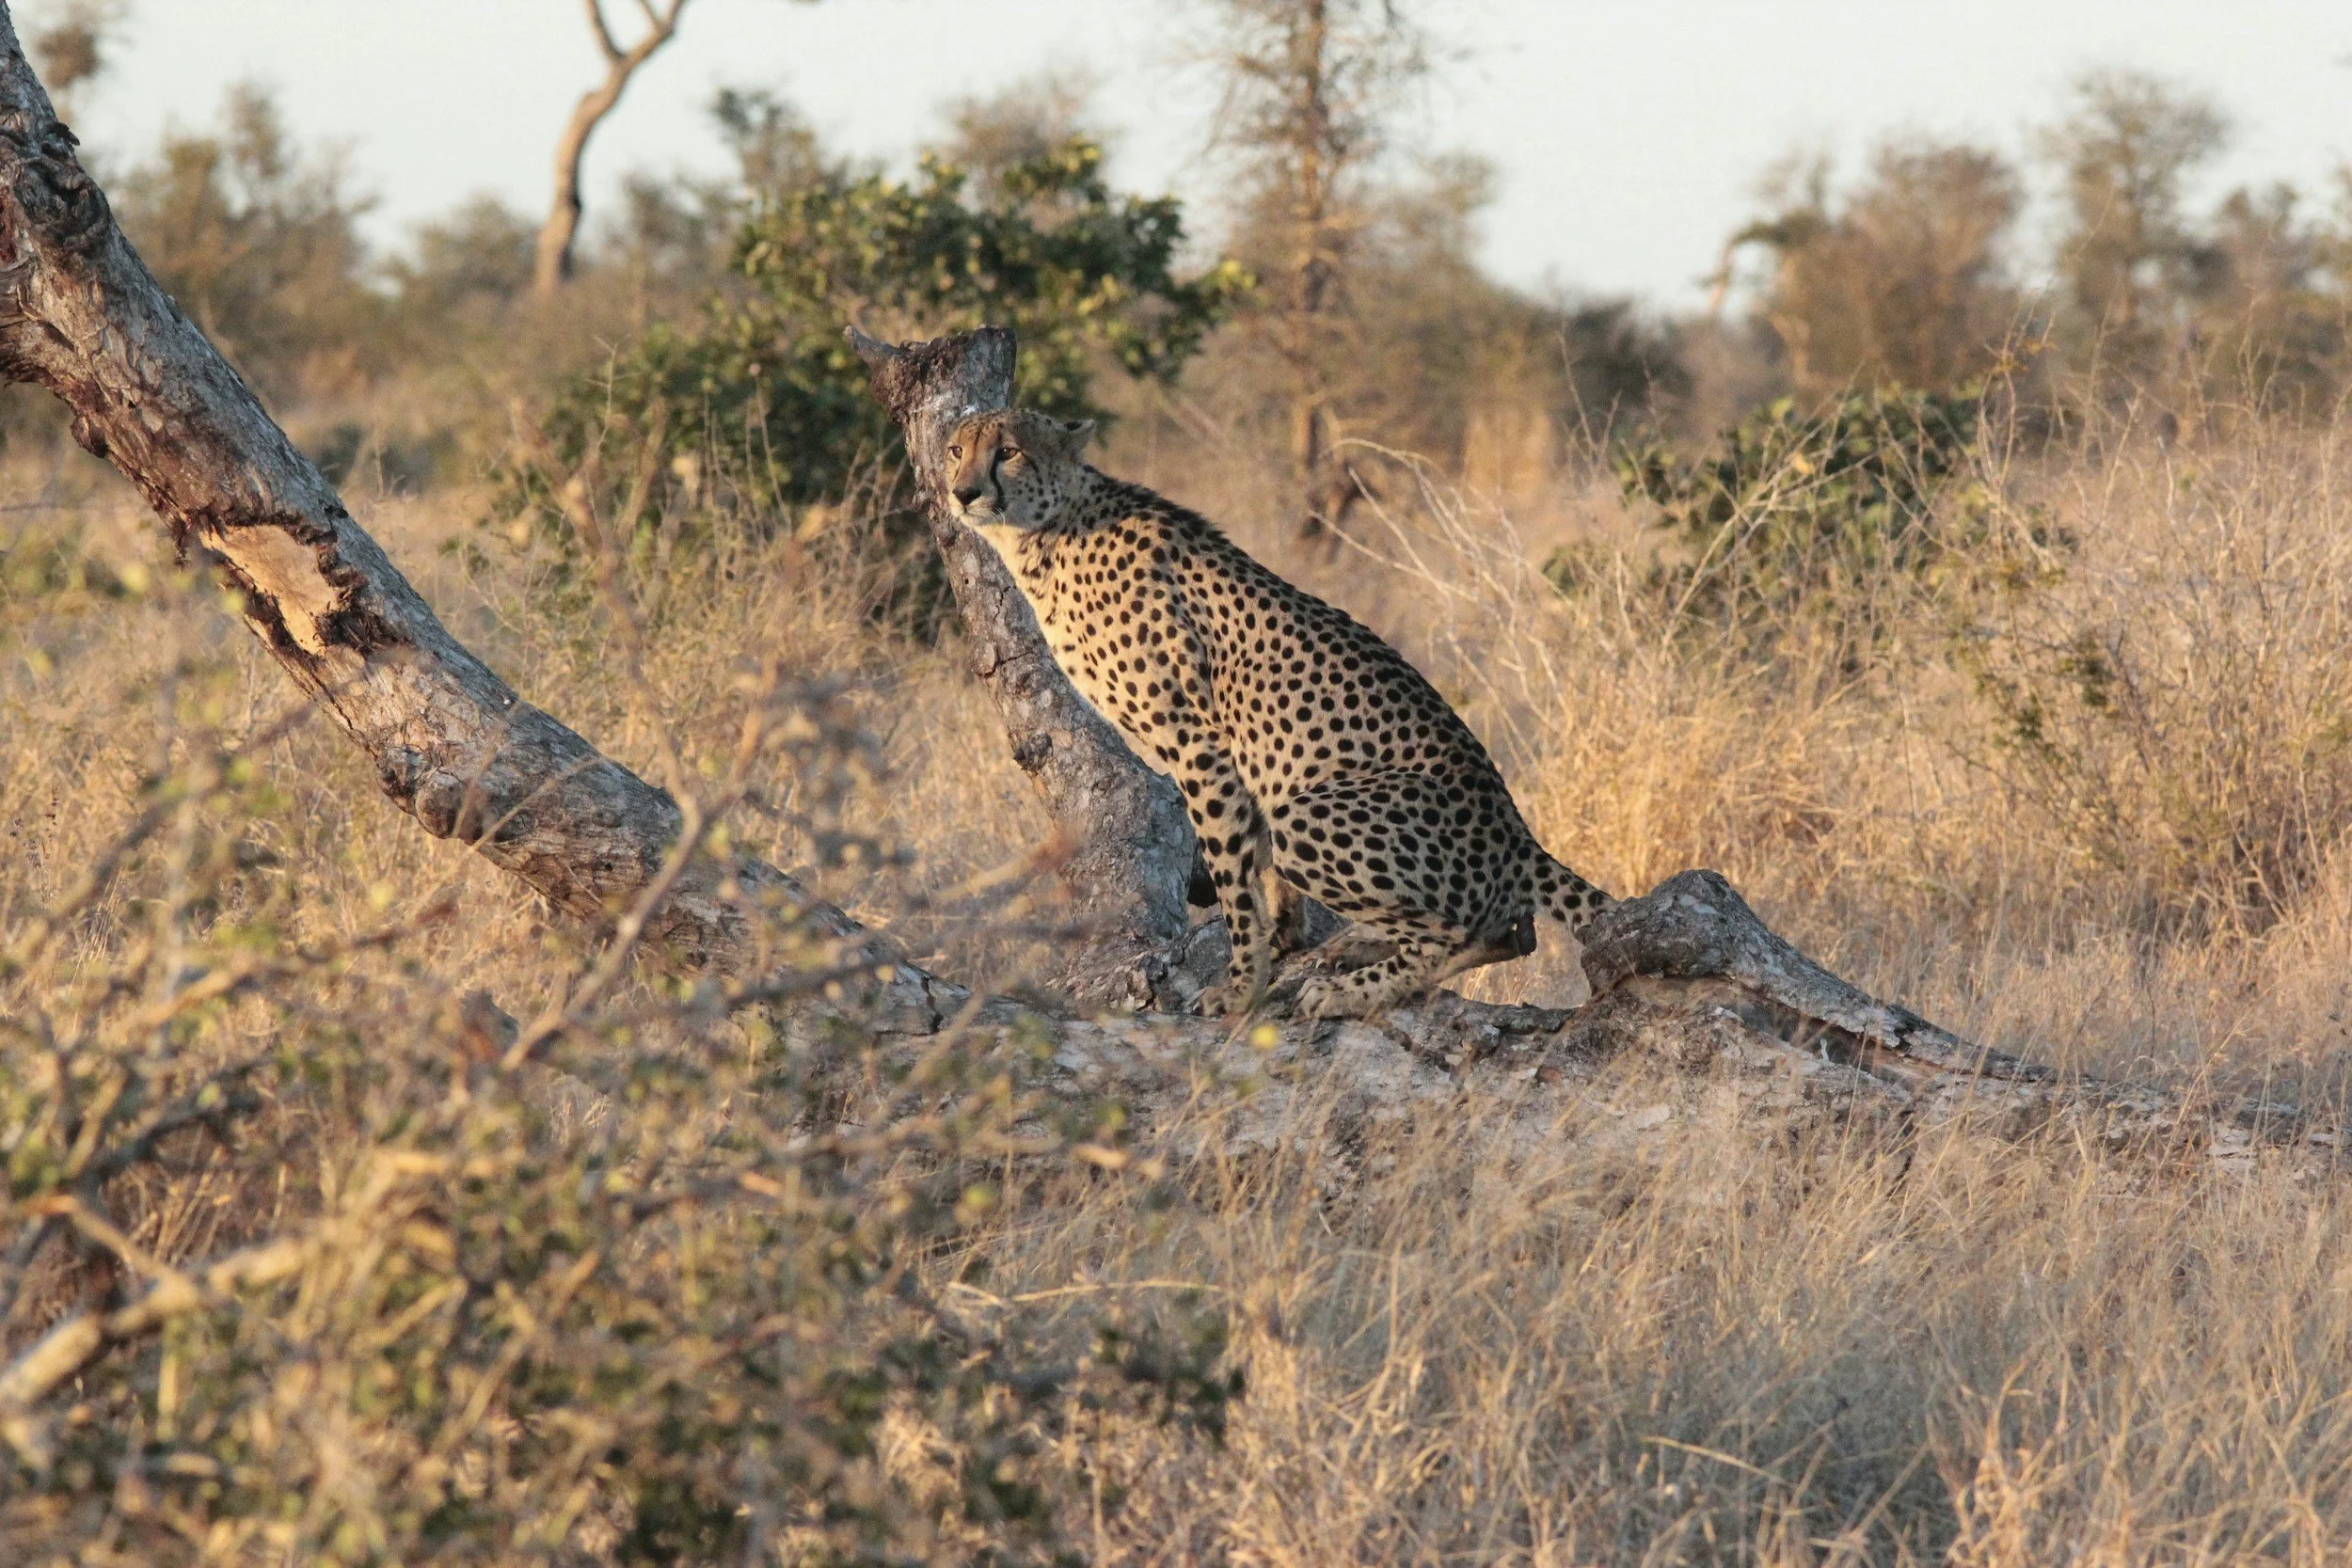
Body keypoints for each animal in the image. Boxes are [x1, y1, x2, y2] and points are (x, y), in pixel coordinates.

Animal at [946, 406, 1611, 1019]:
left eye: (1007, 451)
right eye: (955, 450)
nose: (962, 492)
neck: (1048, 534)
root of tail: (1517, 831)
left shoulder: (1200, 744)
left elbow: (1234, 876)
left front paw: (1241, 987)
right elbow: (1259, 867)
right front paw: (1285, 939)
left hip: (1314, 817)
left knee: (1473, 929)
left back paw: (1351, 989)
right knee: (1514, 931)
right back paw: (1360, 947)